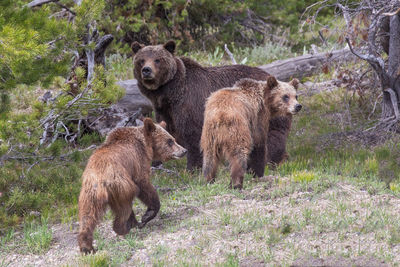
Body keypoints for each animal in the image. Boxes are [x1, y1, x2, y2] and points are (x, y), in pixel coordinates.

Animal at [78, 119, 188, 255]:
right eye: (170, 141)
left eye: (173, 139)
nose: (184, 150)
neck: (145, 145)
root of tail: (100, 178)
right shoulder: (138, 165)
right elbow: (145, 186)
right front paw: (147, 214)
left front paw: (139, 219)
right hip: (121, 187)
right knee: (124, 208)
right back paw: (123, 228)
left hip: (89, 194)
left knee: (88, 216)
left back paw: (87, 247)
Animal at [133, 39, 292, 175]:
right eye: (141, 60)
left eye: (157, 59)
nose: (146, 70)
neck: (170, 93)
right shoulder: (165, 109)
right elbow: (162, 129)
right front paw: (153, 162)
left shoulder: (190, 105)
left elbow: (193, 135)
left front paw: (192, 168)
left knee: (272, 137)